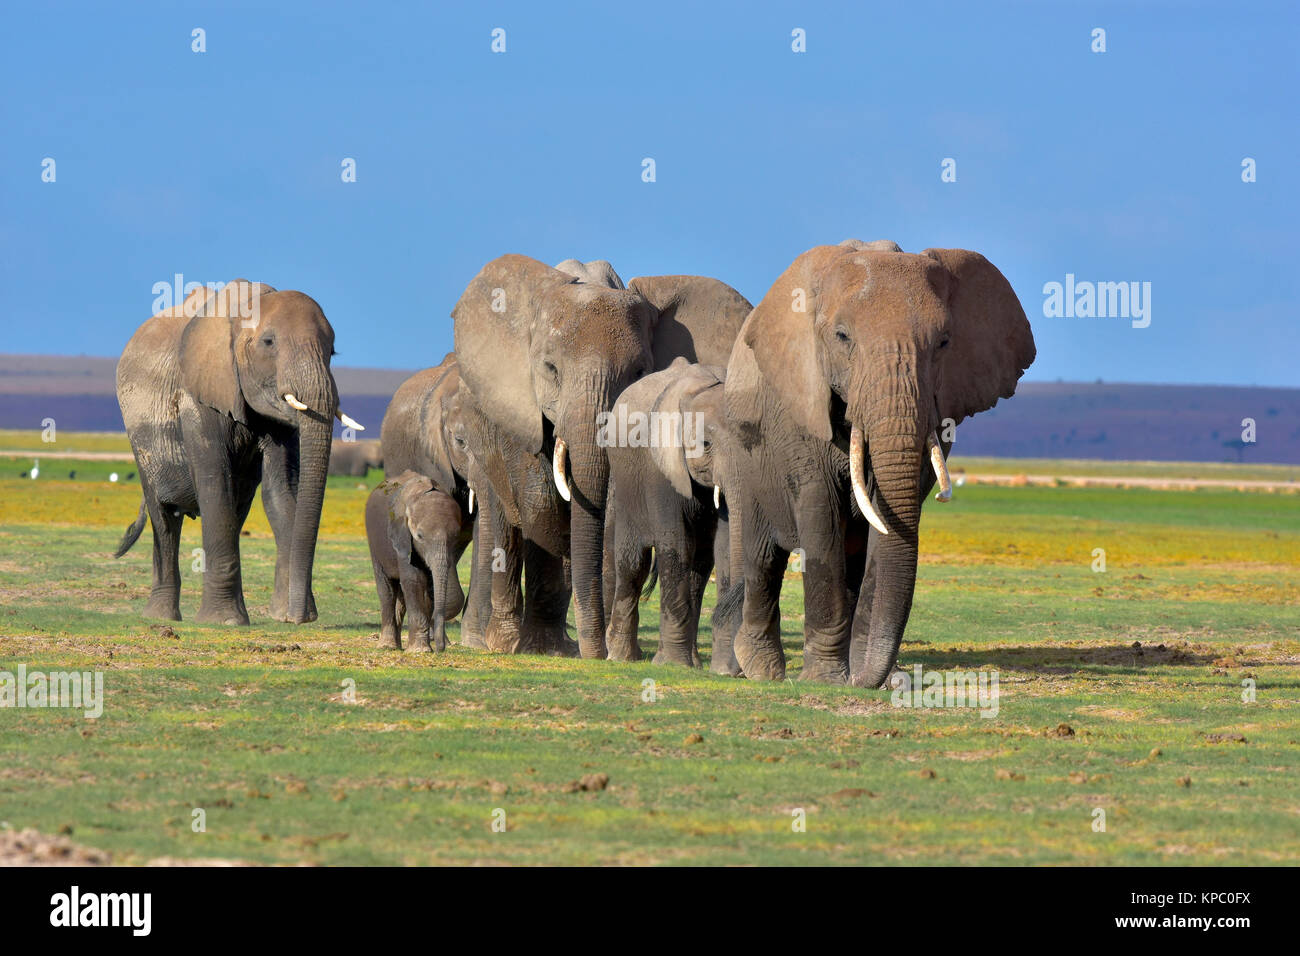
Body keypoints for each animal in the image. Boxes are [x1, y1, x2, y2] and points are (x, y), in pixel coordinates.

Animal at [116, 280, 364, 624]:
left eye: (332, 350)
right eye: (269, 342)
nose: (299, 618)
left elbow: (280, 490)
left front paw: (284, 614)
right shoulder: (199, 396)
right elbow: (215, 485)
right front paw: (224, 621)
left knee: (237, 506)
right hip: (140, 441)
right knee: (164, 517)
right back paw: (161, 617)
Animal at [364, 470, 470, 650]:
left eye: (455, 537)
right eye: (419, 536)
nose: (440, 649)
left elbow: (429, 586)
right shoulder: (402, 536)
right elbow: (414, 580)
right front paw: (420, 651)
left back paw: (398, 646)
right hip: (374, 543)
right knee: (387, 590)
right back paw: (387, 646)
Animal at [454, 254, 754, 658]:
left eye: (639, 372)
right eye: (550, 369)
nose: (595, 655)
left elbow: (610, 511)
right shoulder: (517, 403)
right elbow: (541, 503)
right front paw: (548, 647)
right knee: (502, 522)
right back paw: (502, 643)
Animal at [733, 239, 1034, 686]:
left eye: (944, 342)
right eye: (842, 337)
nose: (865, 680)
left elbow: (886, 524)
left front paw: (875, 678)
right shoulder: (800, 408)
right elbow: (820, 515)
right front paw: (826, 680)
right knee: (761, 556)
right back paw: (761, 669)